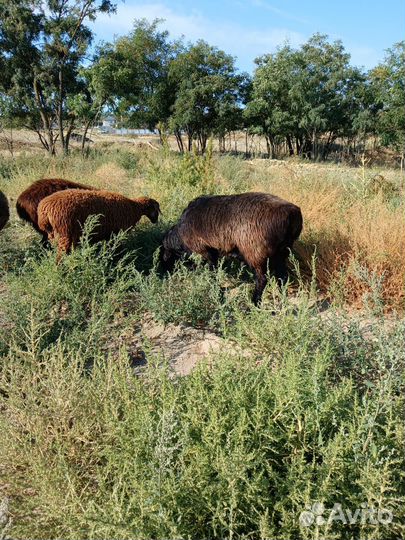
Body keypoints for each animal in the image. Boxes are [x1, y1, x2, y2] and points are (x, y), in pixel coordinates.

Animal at [159, 193, 302, 304]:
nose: (164, 272)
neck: (180, 234)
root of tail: (292, 214)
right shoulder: (213, 252)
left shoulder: (205, 251)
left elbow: (211, 270)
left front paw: (214, 288)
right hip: (282, 252)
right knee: (282, 277)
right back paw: (282, 299)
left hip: (255, 253)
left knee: (262, 280)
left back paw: (255, 302)